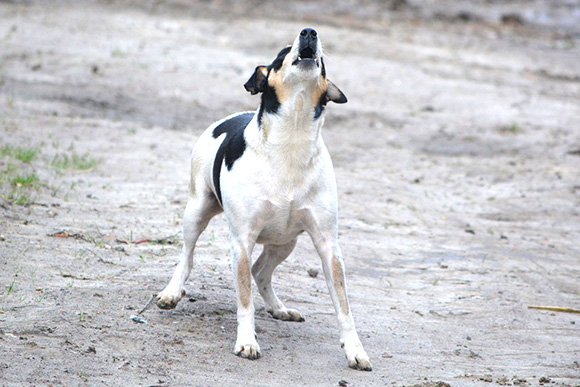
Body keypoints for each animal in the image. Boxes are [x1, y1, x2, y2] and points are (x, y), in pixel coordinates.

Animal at [154, 27, 372, 372]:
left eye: (323, 62)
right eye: (282, 53)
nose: (309, 32)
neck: (292, 138)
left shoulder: (328, 245)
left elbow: (344, 306)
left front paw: (354, 350)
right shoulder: (242, 241)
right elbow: (244, 300)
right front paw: (247, 342)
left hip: (285, 242)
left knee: (261, 272)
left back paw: (279, 308)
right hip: (196, 210)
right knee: (188, 256)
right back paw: (172, 292)